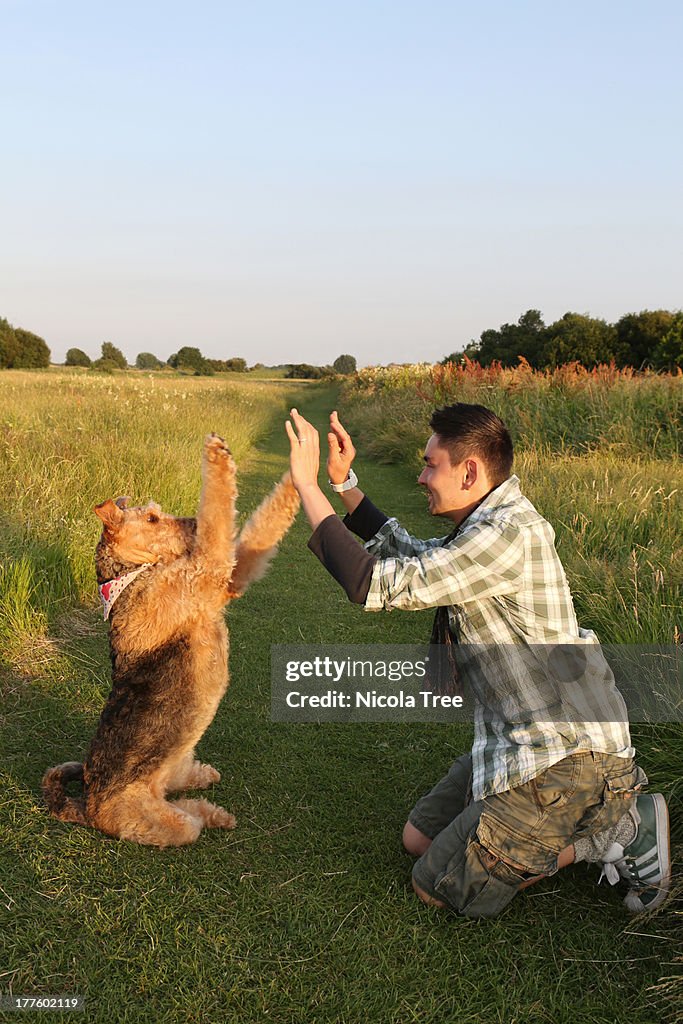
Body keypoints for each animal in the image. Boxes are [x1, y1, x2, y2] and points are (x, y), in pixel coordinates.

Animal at [42, 432, 299, 847]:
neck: (131, 575)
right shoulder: (208, 570)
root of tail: (86, 808)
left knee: (180, 786)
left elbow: (261, 523)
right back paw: (215, 813)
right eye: (151, 518)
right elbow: (218, 517)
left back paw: (207, 785)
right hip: (167, 820)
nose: (192, 524)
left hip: (172, 766)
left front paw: (301, 468)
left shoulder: (227, 577)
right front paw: (217, 454)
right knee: (187, 814)